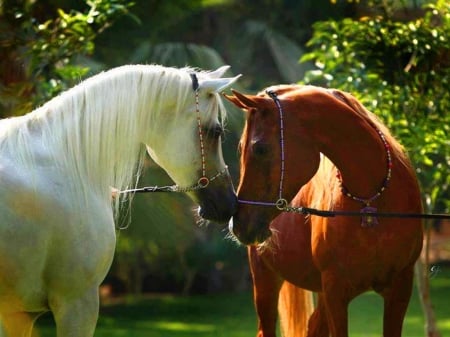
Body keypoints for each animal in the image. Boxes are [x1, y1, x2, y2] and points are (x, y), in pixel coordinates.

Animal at [227, 86, 424, 336]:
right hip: (265, 281)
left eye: (259, 148)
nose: (239, 223)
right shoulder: (335, 292)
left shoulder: (399, 289)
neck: (372, 203)